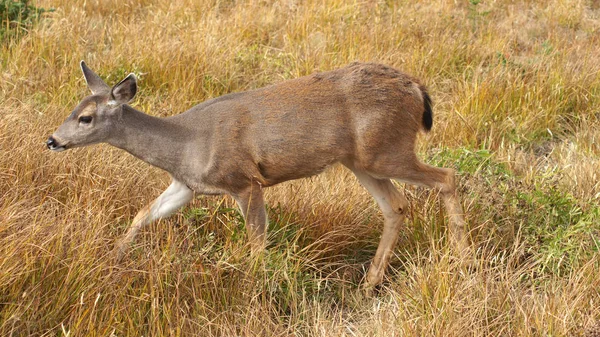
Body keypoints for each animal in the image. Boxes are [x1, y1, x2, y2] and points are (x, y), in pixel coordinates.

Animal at [48, 61, 468, 288]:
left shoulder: (244, 180)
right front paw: (113, 259)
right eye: (73, 109)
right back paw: (370, 282)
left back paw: (461, 260)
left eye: (86, 118)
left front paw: (254, 284)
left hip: (385, 150)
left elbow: (256, 241)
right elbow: (142, 214)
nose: (52, 140)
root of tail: (417, 88)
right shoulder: (187, 185)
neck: (185, 144)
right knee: (395, 205)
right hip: (360, 161)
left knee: (447, 176)